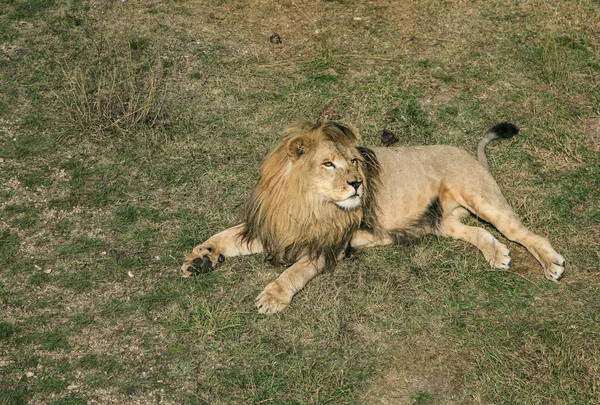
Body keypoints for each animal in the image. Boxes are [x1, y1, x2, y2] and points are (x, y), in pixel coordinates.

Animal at [180, 121, 564, 314]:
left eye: (353, 161)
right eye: (328, 164)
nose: (357, 184)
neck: (305, 203)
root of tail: (470, 154)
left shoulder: (330, 244)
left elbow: (296, 270)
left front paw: (273, 296)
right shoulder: (274, 227)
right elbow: (227, 236)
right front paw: (200, 258)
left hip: (483, 198)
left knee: (523, 233)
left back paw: (550, 263)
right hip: (444, 222)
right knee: (477, 232)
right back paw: (495, 253)